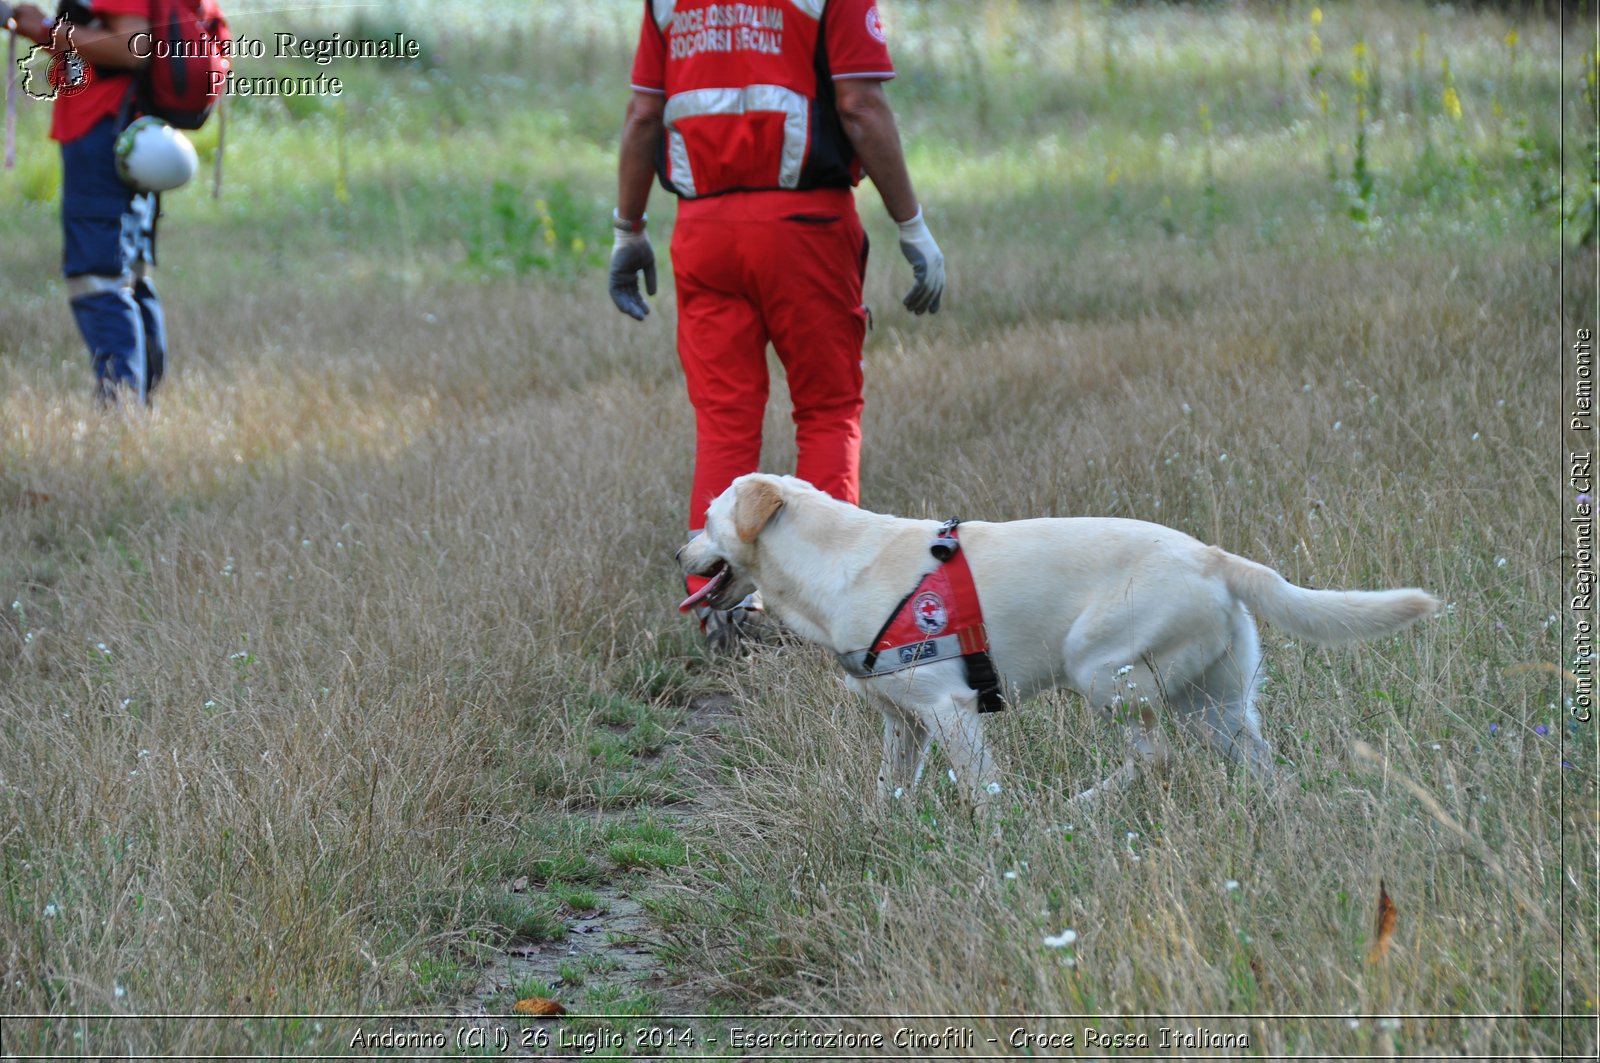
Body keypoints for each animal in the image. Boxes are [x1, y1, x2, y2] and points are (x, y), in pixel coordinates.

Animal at [675, 473, 1440, 806]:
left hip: (1102, 671)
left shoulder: (950, 710)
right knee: (1261, 765)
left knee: (1156, 757)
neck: (831, 564)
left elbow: (983, 794)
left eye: (707, 518)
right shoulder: (903, 722)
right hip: (1215, 706)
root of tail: (1214, 557)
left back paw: (1076, 810)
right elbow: (889, 789)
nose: (677, 552)